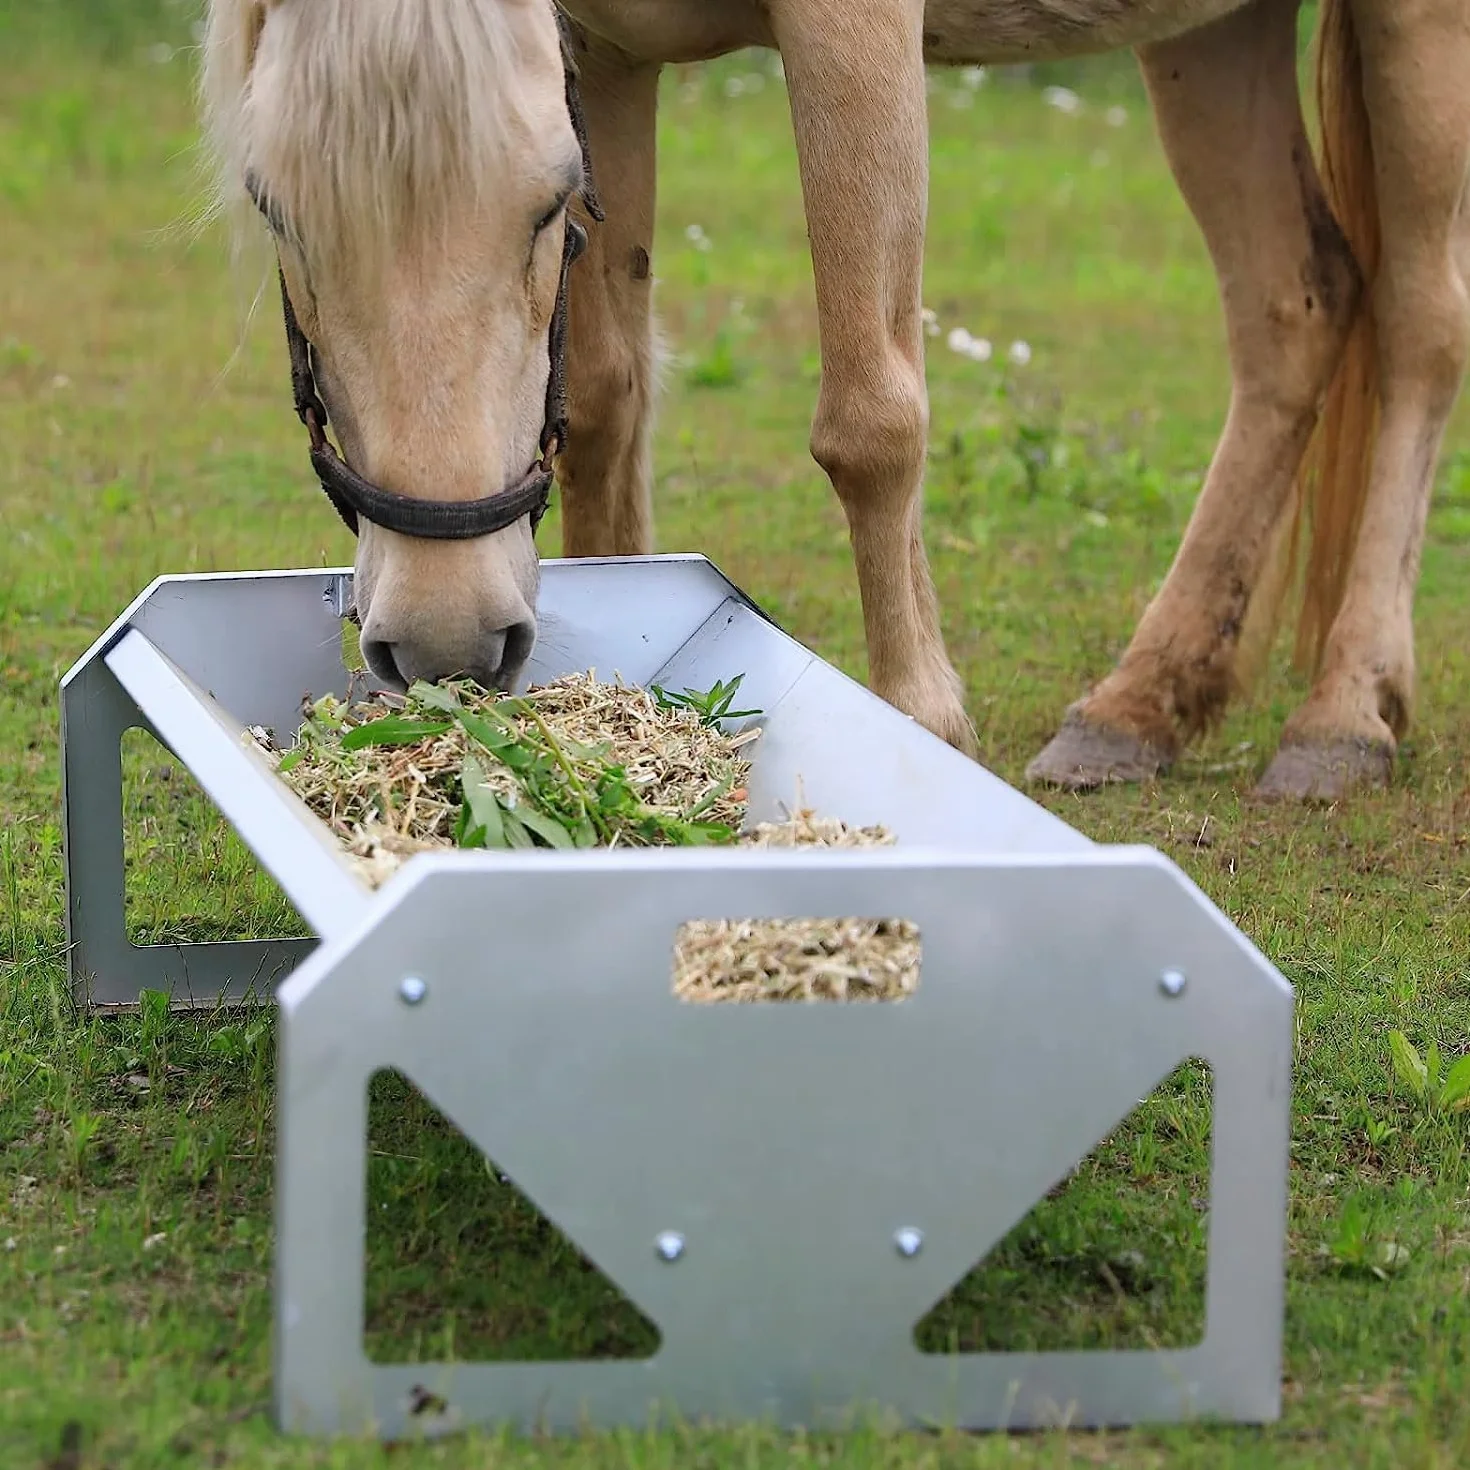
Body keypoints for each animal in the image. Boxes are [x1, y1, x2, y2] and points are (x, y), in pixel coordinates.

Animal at [198, 0, 1470, 804]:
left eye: (550, 203)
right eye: (273, 209)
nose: (448, 640)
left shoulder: (851, 31)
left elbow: (871, 422)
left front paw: (923, 724)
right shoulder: (603, 51)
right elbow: (609, 400)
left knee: (1421, 324)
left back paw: (1344, 714)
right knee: (1294, 309)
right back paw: (1139, 705)